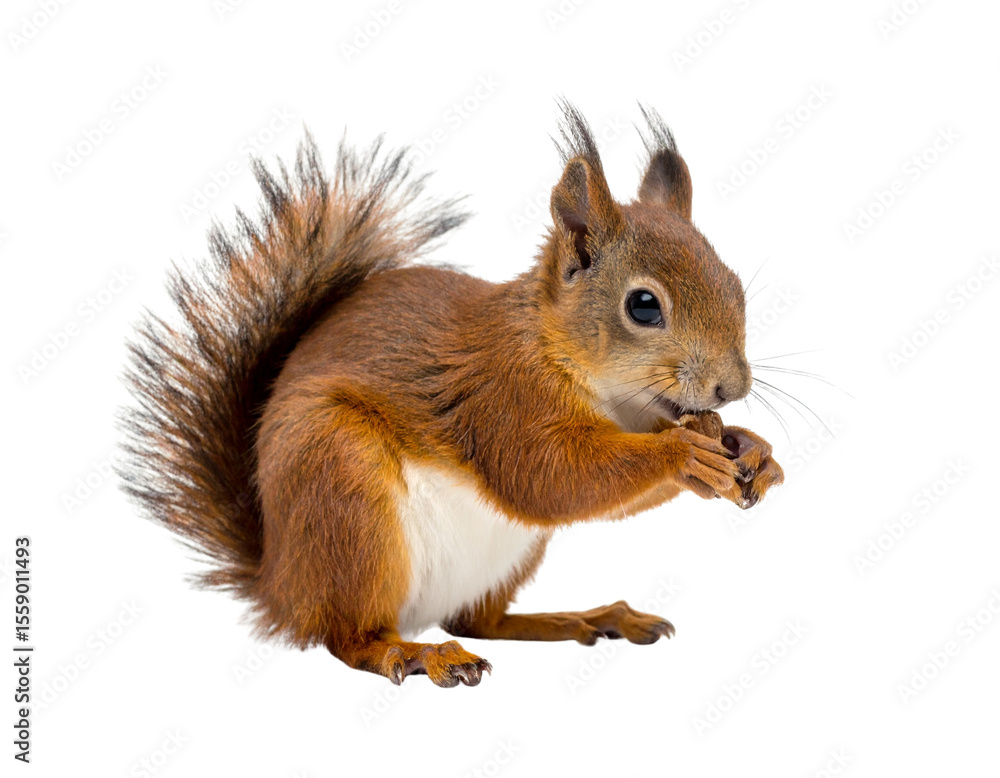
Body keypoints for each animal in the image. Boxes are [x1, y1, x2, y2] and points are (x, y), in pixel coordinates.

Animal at [118, 102, 783, 688]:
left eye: (733, 285)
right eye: (643, 306)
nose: (733, 386)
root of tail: (278, 583)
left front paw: (753, 450)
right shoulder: (502, 396)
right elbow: (548, 478)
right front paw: (684, 454)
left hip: (503, 555)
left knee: (479, 620)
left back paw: (583, 617)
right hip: (343, 491)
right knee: (349, 636)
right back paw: (415, 654)